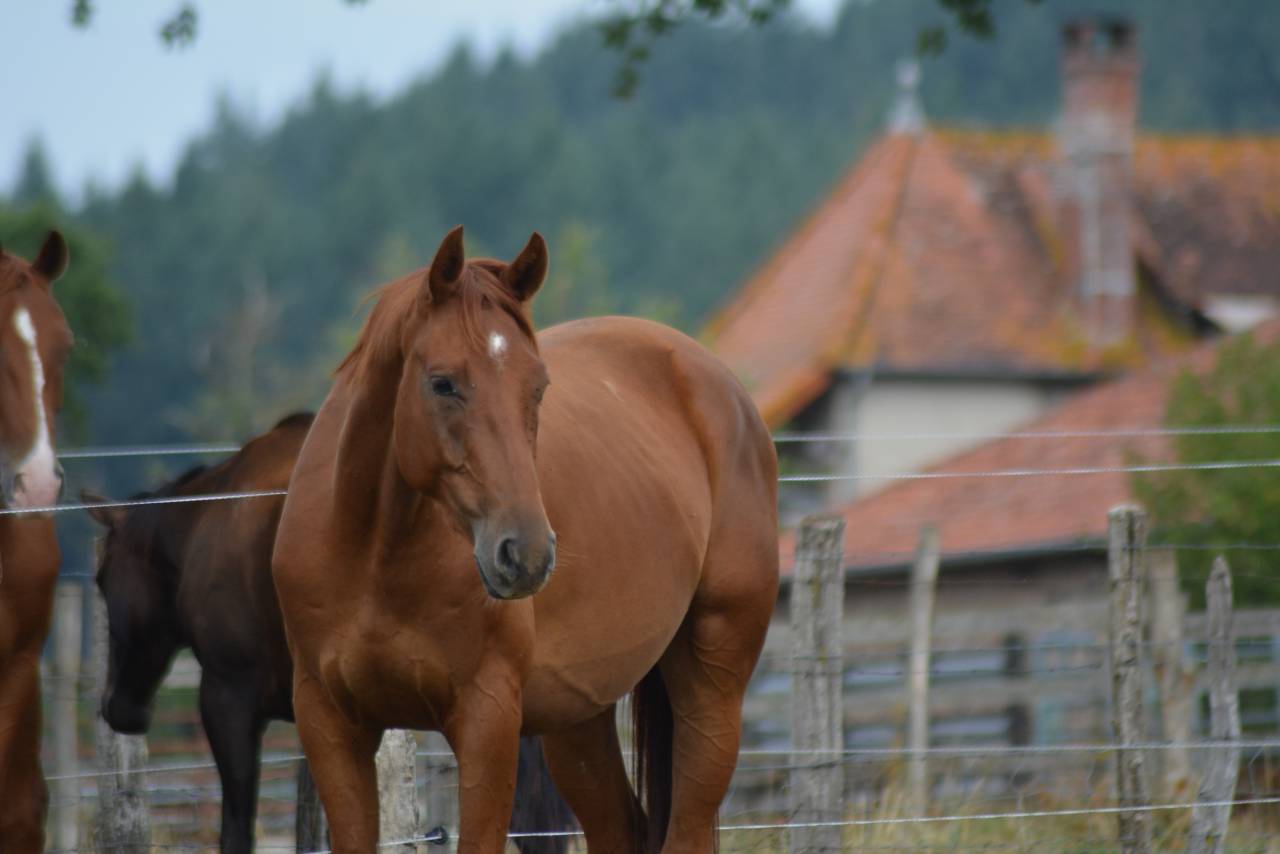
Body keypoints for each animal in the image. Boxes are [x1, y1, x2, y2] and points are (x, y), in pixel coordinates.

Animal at [272, 226, 779, 853]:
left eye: (538, 388)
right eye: (442, 383)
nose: (528, 554)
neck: (373, 558)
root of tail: (719, 384)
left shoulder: (486, 719)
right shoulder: (329, 723)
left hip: (712, 683)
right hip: (579, 717)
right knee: (621, 826)